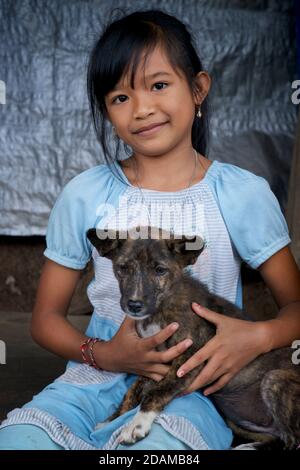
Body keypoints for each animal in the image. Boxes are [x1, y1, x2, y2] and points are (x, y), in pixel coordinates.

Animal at [85, 225, 298, 448]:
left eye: (160, 270)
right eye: (123, 268)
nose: (134, 305)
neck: (162, 307)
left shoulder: (190, 357)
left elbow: (156, 391)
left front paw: (137, 424)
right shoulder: (148, 359)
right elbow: (132, 391)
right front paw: (113, 419)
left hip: (275, 379)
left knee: (293, 440)